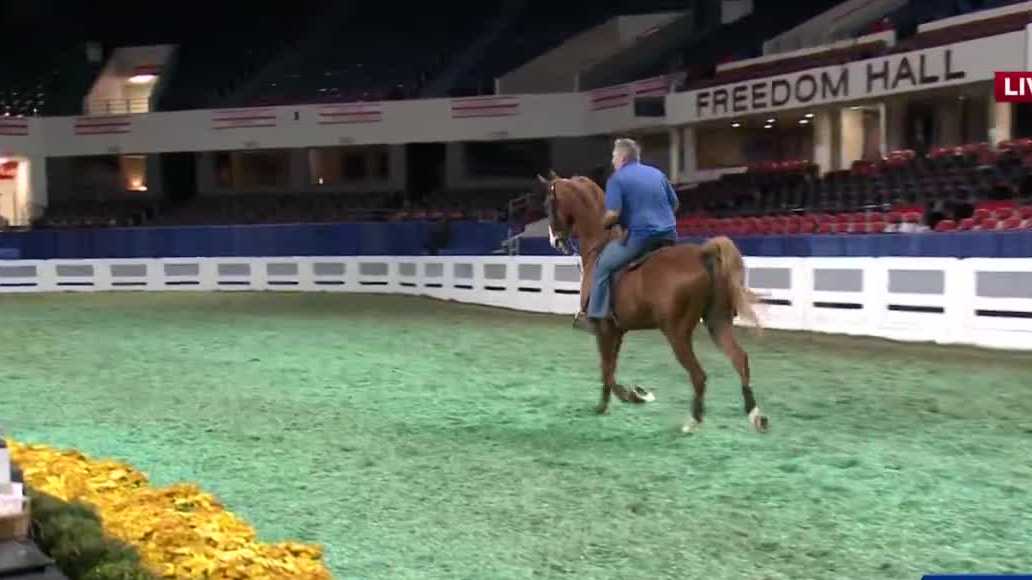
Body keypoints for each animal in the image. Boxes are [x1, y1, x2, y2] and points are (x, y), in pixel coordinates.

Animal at [537, 171, 769, 433]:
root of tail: (703, 255)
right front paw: (625, 397)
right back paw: (755, 415)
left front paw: (629, 397)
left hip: (677, 333)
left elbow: (606, 370)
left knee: (699, 374)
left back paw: (693, 420)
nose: (555, 241)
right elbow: (610, 368)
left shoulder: (604, 329)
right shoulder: (617, 330)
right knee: (740, 359)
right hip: (717, 322)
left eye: (548, 204)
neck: (599, 247)